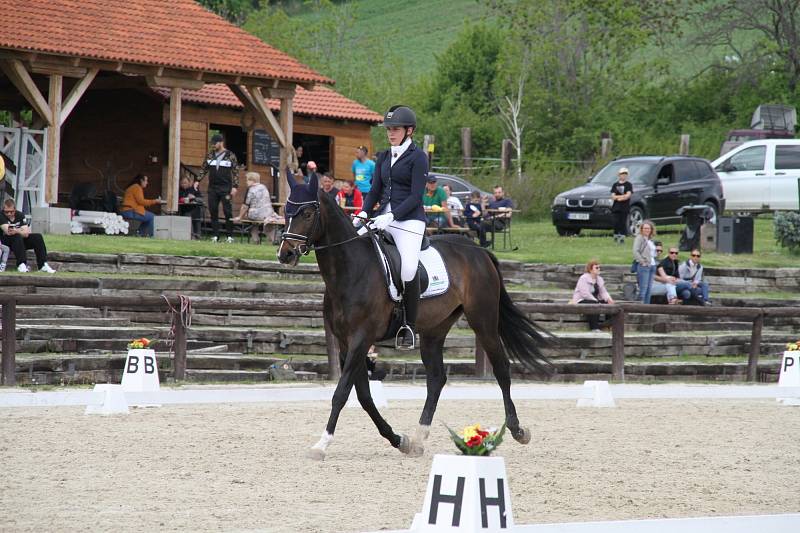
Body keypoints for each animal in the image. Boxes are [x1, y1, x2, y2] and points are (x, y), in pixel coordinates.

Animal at [278, 185, 552, 460]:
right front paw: (399, 440)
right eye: (286, 211)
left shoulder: (361, 338)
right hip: (435, 329)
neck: (350, 269)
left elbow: (342, 392)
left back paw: (517, 430)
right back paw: (419, 438)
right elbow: (364, 396)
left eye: (308, 214)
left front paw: (321, 444)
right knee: (437, 378)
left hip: (483, 320)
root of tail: (478, 250)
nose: (285, 254)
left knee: (501, 368)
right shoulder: (346, 343)